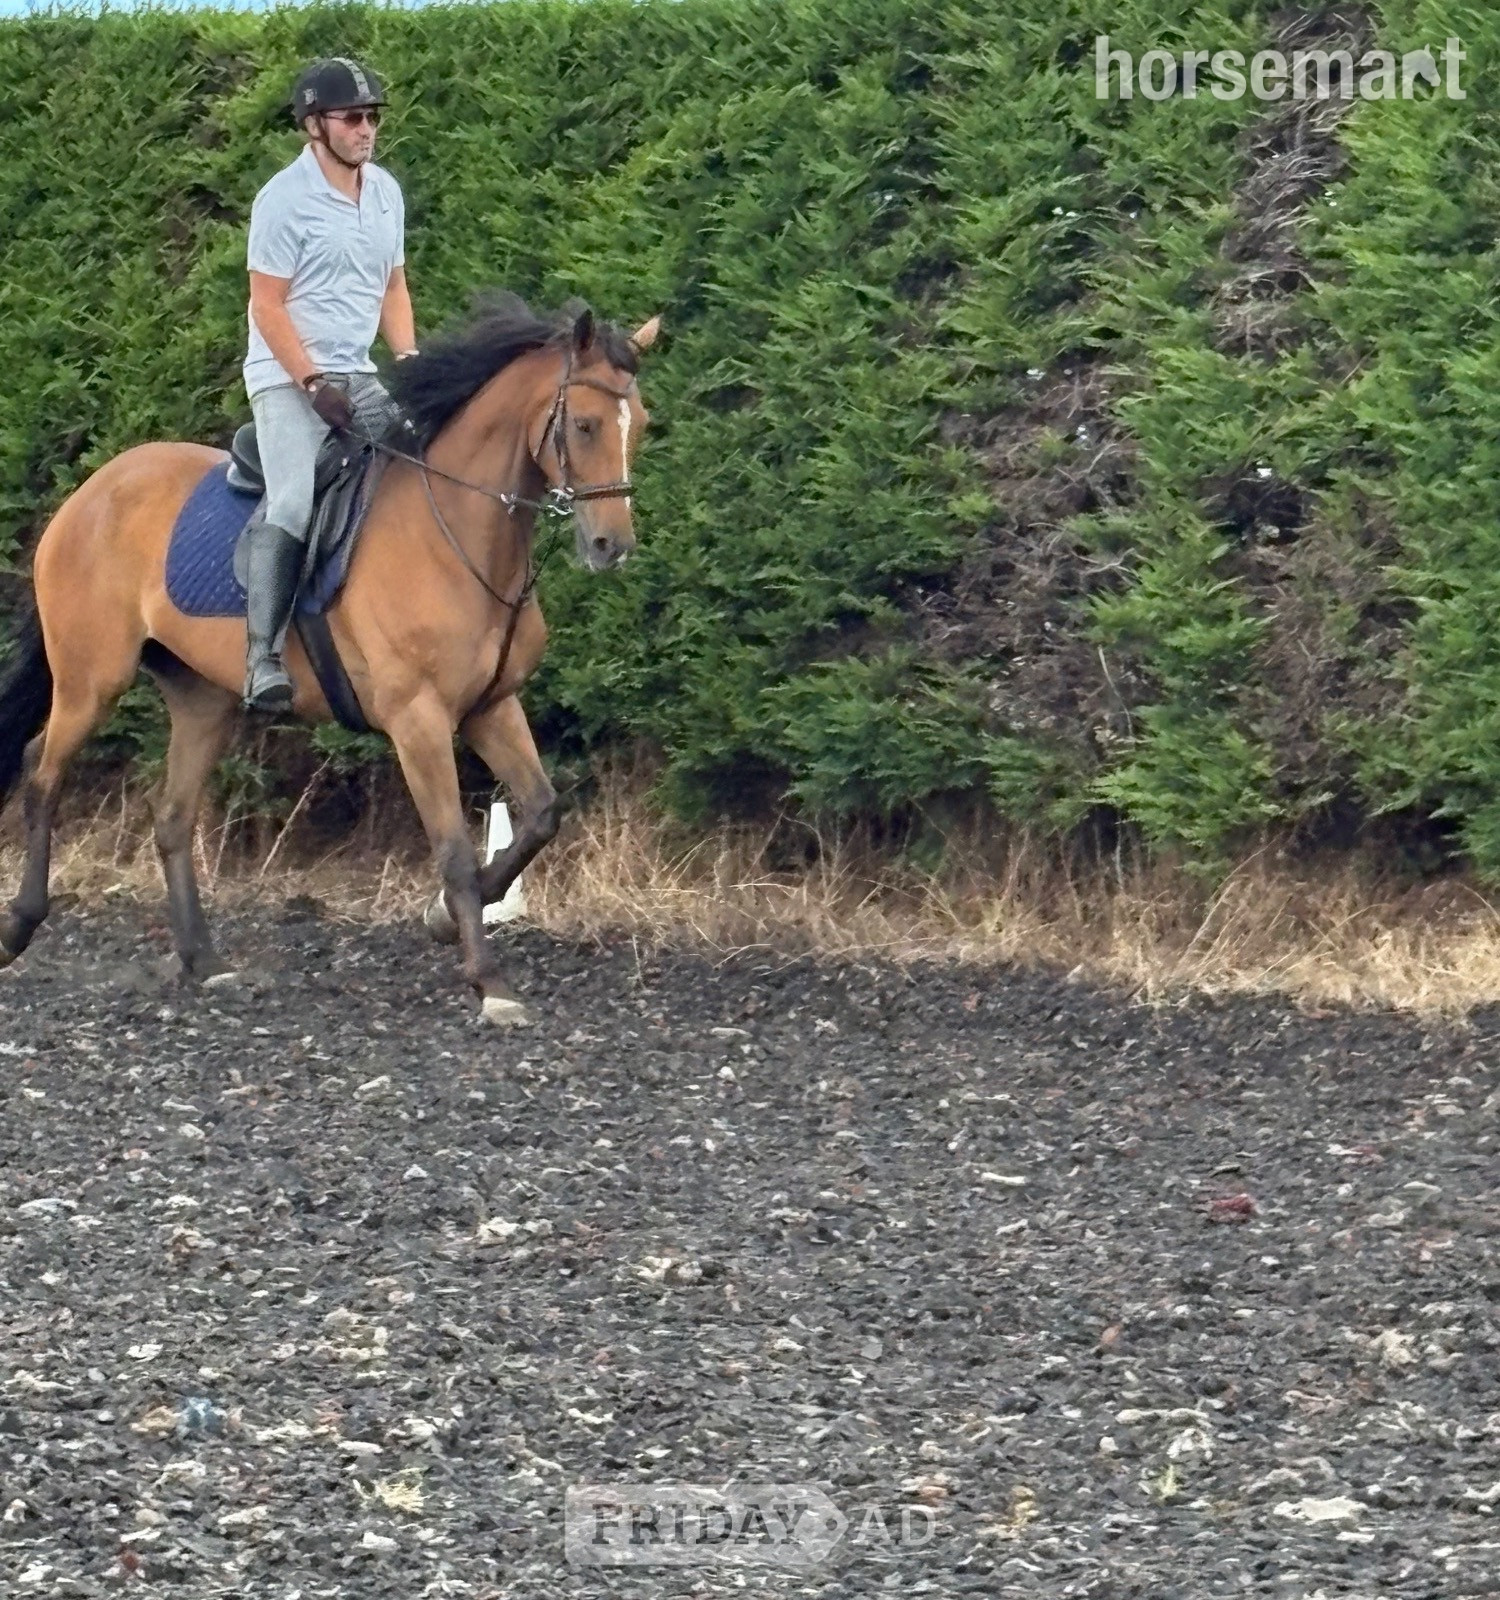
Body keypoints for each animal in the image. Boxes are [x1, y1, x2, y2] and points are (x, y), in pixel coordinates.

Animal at [0, 292, 659, 1026]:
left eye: (640, 426)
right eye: (584, 424)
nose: (611, 546)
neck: (456, 534)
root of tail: (92, 491)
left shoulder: (491, 707)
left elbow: (541, 815)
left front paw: (441, 919)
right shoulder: (418, 721)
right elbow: (455, 851)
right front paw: (489, 982)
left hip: (203, 701)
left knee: (171, 816)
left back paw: (204, 961)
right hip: (93, 680)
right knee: (40, 771)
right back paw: (20, 926)